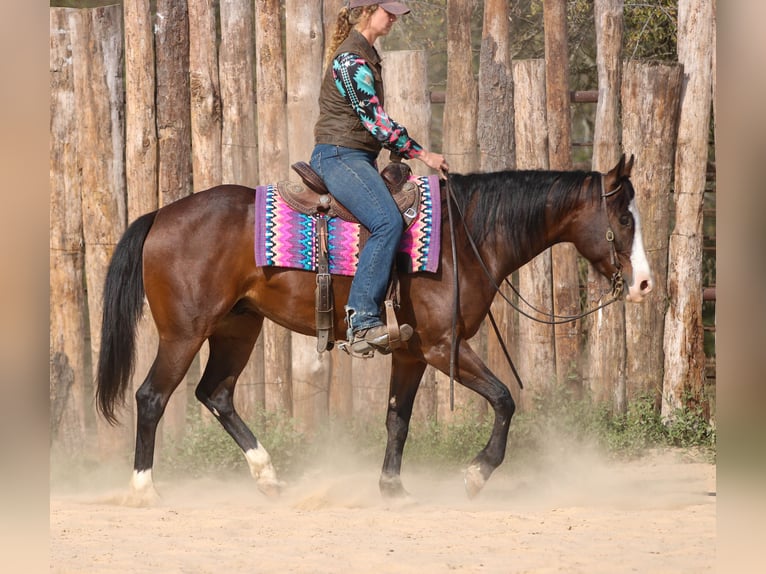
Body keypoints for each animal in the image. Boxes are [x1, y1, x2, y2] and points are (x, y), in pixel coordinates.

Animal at [95, 154, 652, 504]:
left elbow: (397, 419)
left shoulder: (411, 352)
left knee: (216, 394)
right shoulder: (442, 346)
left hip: (237, 328)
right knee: (151, 397)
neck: (465, 235)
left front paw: (392, 488)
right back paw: (143, 489)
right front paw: (477, 473)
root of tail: (161, 215)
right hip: (184, 333)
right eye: (624, 219)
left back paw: (269, 478)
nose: (645, 283)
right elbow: (503, 399)